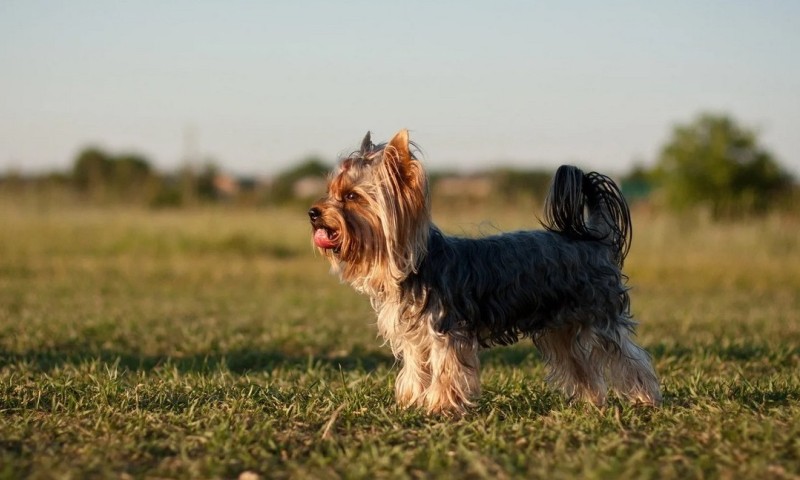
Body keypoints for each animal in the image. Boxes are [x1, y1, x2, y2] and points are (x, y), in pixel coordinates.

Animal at [310, 129, 660, 414]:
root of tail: (594, 239)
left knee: (628, 357)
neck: (414, 265)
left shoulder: (445, 331)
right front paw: (411, 402)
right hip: (561, 327)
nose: (313, 212)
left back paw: (646, 398)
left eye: (352, 196)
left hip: (599, 317)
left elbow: (446, 369)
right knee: (580, 364)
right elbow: (415, 370)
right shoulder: (415, 338)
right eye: (330, 192)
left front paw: (440, 407)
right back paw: (591, 402)